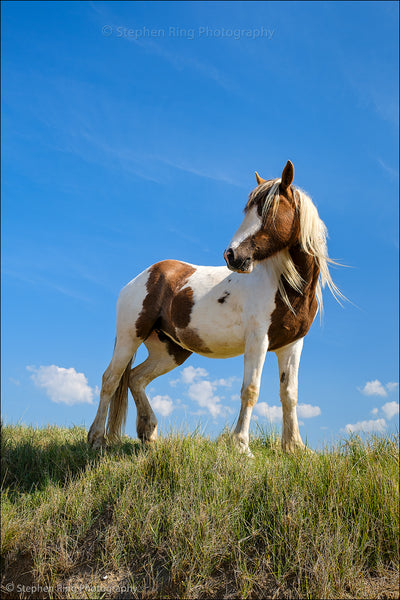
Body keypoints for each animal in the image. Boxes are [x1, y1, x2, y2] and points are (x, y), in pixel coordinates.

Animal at [87, 159, 340, 454]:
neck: (285, 286)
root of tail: (142, 277)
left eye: (268, 210)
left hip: (171, 351)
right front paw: (242, 446)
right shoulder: (258, 340)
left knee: (136, 378)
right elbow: (250, 390)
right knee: (111, 379)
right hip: (131, 336)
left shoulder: (292, 344)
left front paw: (293, 447)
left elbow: (289, 394)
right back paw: (96, 438)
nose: (232, 256)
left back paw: (149, 433)